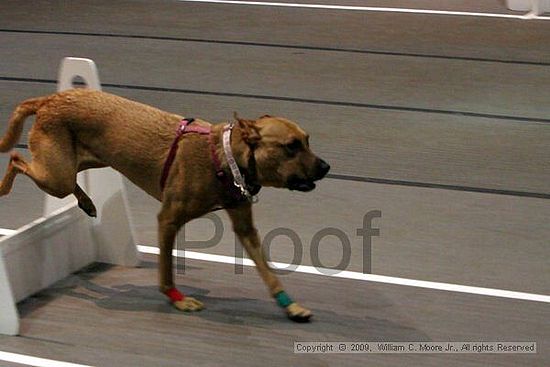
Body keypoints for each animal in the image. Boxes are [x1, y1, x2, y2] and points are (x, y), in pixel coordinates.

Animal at [0, 90, 330, 324]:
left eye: (307, 140)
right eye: (291, 146)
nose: (327, 167)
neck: (227, 157)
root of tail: (50, 99)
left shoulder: (245, 227)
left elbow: (267, 271)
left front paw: (291, 306)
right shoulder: (168, 220)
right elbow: (166, 272)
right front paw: (177, 298)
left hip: (84, 162)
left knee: (66, 180)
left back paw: (87, 202)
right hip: (57, 175)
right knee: (16, 160)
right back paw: (4, 187)